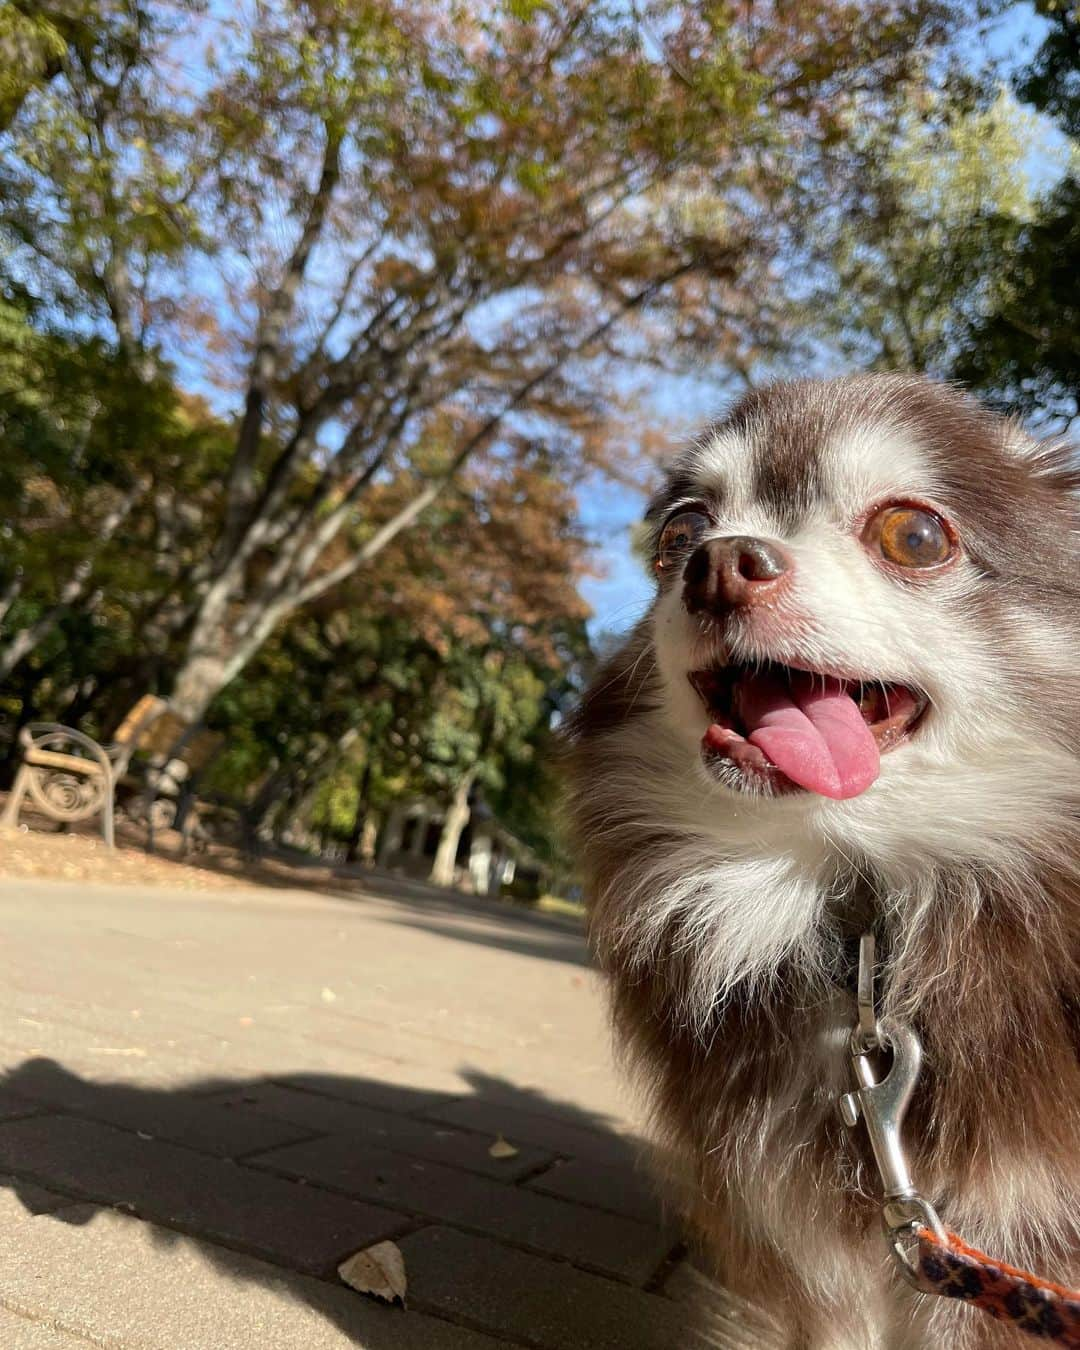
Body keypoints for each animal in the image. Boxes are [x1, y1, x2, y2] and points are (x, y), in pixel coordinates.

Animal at [561, 375, 1080, 1344]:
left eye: (916, 536)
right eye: (681, 532)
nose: (719, 562)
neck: (856, 900)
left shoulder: (1020, 1237)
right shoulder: (793, 1228)